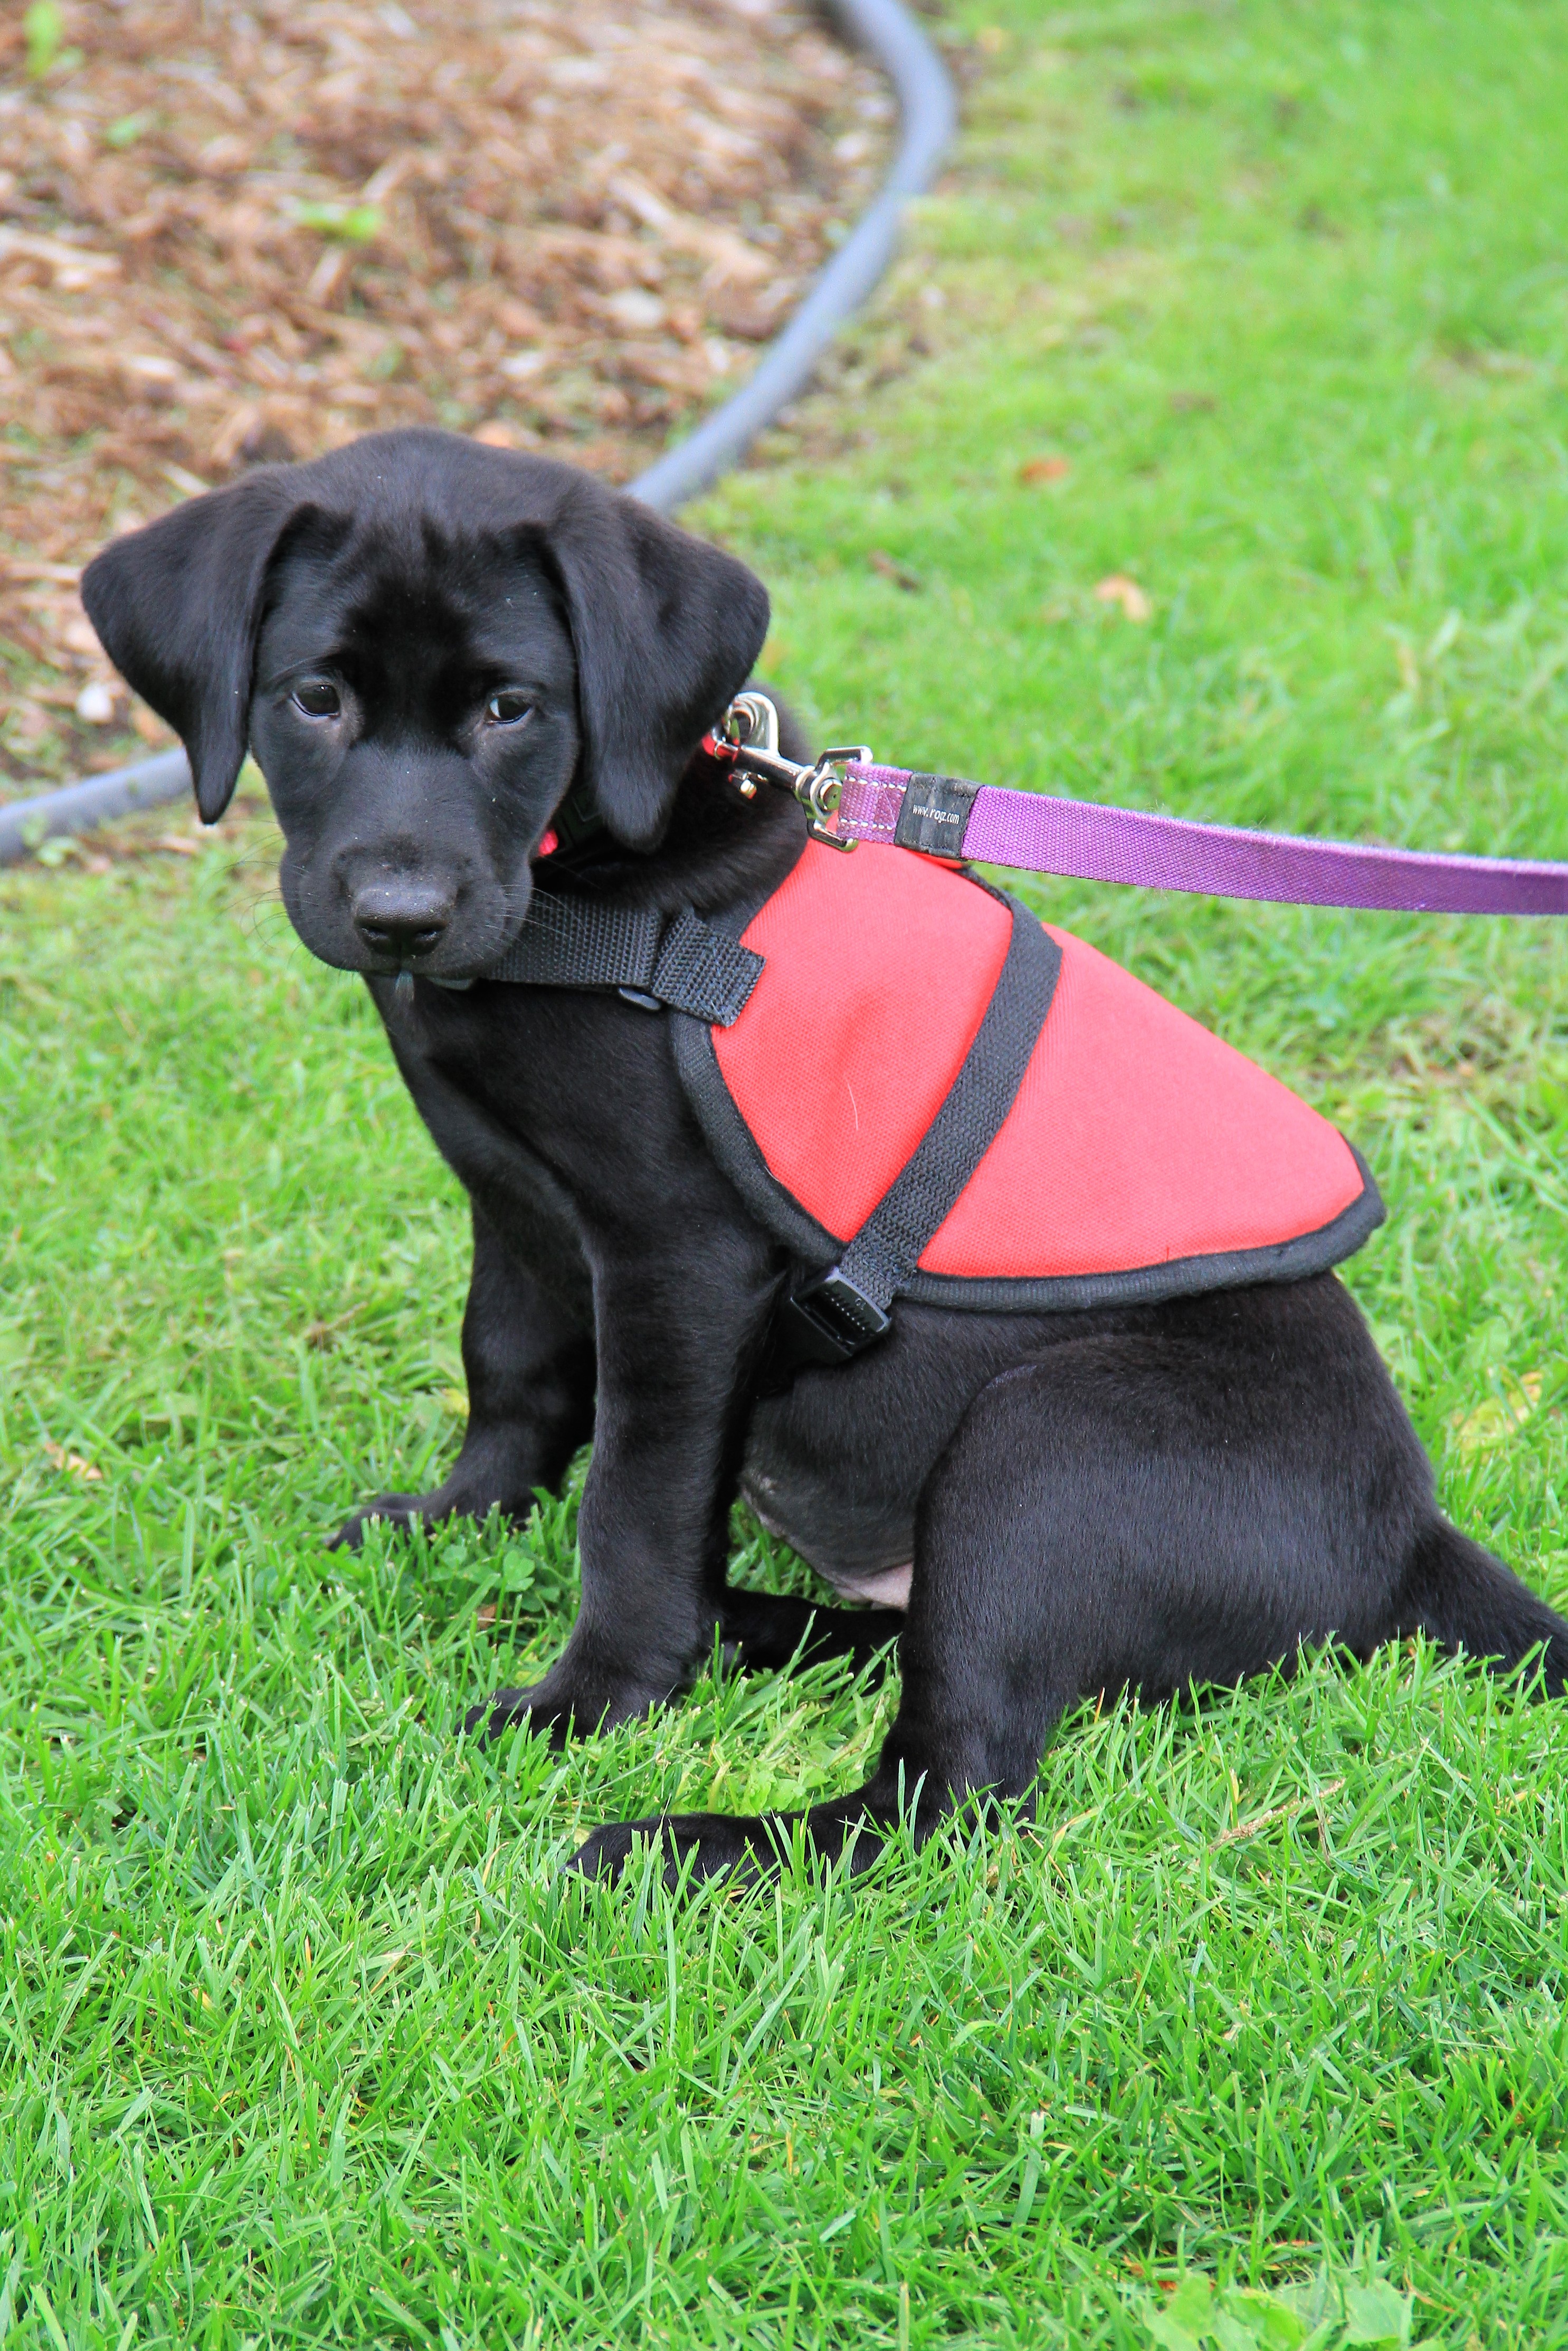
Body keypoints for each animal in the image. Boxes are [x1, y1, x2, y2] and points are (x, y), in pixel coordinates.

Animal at [85, 432, 1568, 1881]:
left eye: (512, 708)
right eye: (313, 699)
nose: (401, 915)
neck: (600, 898)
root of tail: (1408, 1534)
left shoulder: (678, 1263)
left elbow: (633, 1496)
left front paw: (594, 1699)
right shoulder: (508, 1195)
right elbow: (509, 1371)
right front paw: (462, 1518)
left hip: (1043, 1449)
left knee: (949, 1786)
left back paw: (688, 1842)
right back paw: (748, 1623)